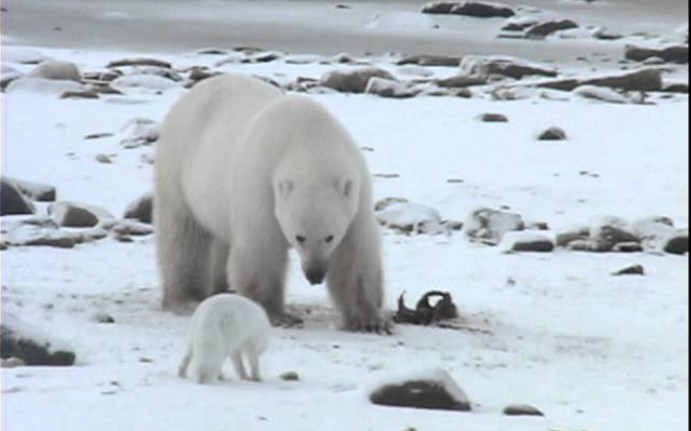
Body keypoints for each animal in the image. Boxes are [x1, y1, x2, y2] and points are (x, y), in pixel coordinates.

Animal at [154, 74, 390, 332]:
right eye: (299, 236)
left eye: (330, 237)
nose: (315, 275)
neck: (311, 141)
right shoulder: (262, 185)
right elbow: (262, 248)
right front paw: (277, 314)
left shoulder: (356, 195)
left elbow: (356, 252)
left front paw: (370, 320)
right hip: (178, 167)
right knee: (184, 234)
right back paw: (188, 298)